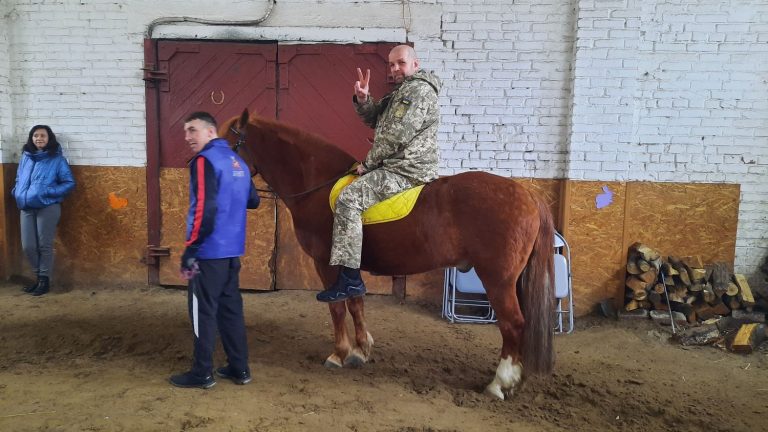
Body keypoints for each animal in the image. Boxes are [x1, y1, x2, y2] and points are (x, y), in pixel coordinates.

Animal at [220, 109, 552, 400]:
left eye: (224, 145)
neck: (319, 185)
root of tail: (528, 194)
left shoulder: (327, 264)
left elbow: (337, 307)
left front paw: (339, 354)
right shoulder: (348, 267)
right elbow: (355, 303)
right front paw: (361, 350)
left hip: (497, 279)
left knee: (512, 324)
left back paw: (499, 384)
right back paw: (514, 380)